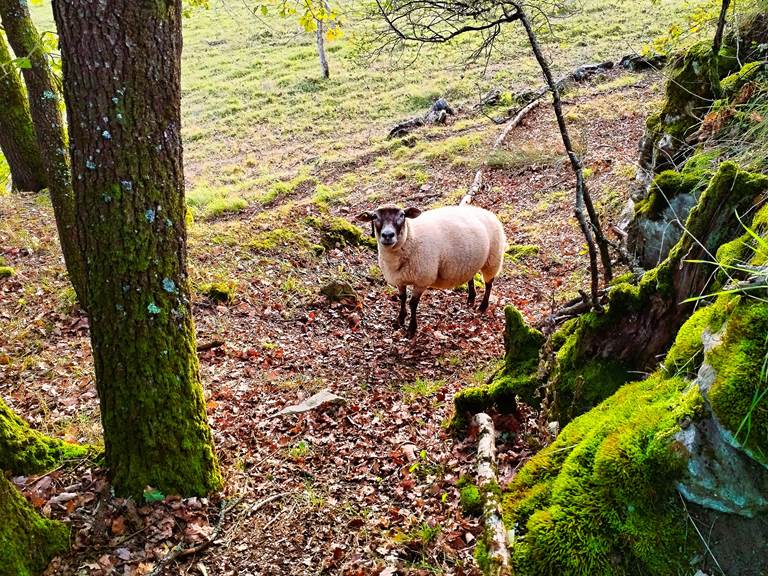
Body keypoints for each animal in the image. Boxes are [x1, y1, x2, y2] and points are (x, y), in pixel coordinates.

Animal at [357, 204, 506, 337]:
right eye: (374, 216)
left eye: (402, 215)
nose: (388, 235)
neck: (410, 236)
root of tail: (485, 211)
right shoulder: (399, 279)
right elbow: (402, 298)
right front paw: (400, 320)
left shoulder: (422, 280)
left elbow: (412, 303)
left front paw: (411, 329)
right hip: (471, 261)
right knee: (471, 276)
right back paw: (471, 298)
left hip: (493, 259)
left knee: (489, 284)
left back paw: (483, 306)